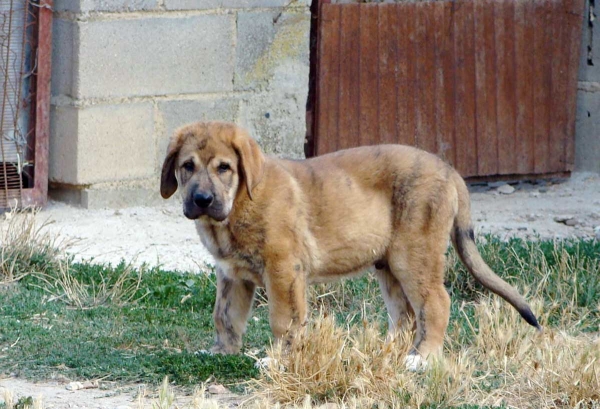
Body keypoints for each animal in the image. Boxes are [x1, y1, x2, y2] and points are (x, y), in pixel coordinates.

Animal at [158, 120, 540, 370]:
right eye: (187, 166)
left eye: (224, 168)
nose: (202, 200)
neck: (237, 205)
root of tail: (449, 170)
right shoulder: (232, 276)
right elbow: (225, 317)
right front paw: (221, 352)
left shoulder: (283, 270)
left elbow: (283, 321)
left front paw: (280, 360)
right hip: (389, 266)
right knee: (405, 315)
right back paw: (382, 351)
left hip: (413, 256)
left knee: (435, 303)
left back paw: (422, 357)